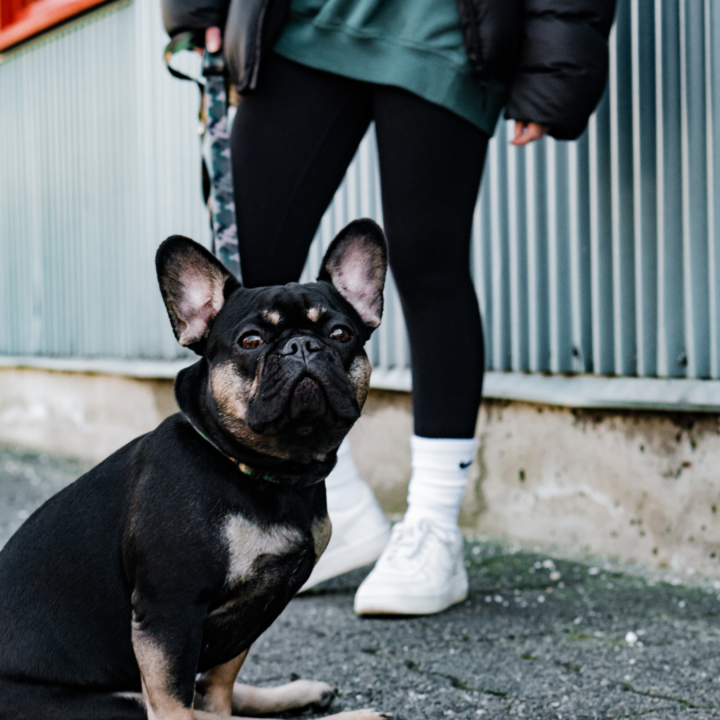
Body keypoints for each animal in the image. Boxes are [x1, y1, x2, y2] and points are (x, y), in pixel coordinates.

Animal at [0, 219, 388, 720]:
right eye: (251, 341)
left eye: (341, 333)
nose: (302, 345)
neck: (261, 470)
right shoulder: (168, 615)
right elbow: (182, 701)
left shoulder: (251, 613)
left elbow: (221, 682)